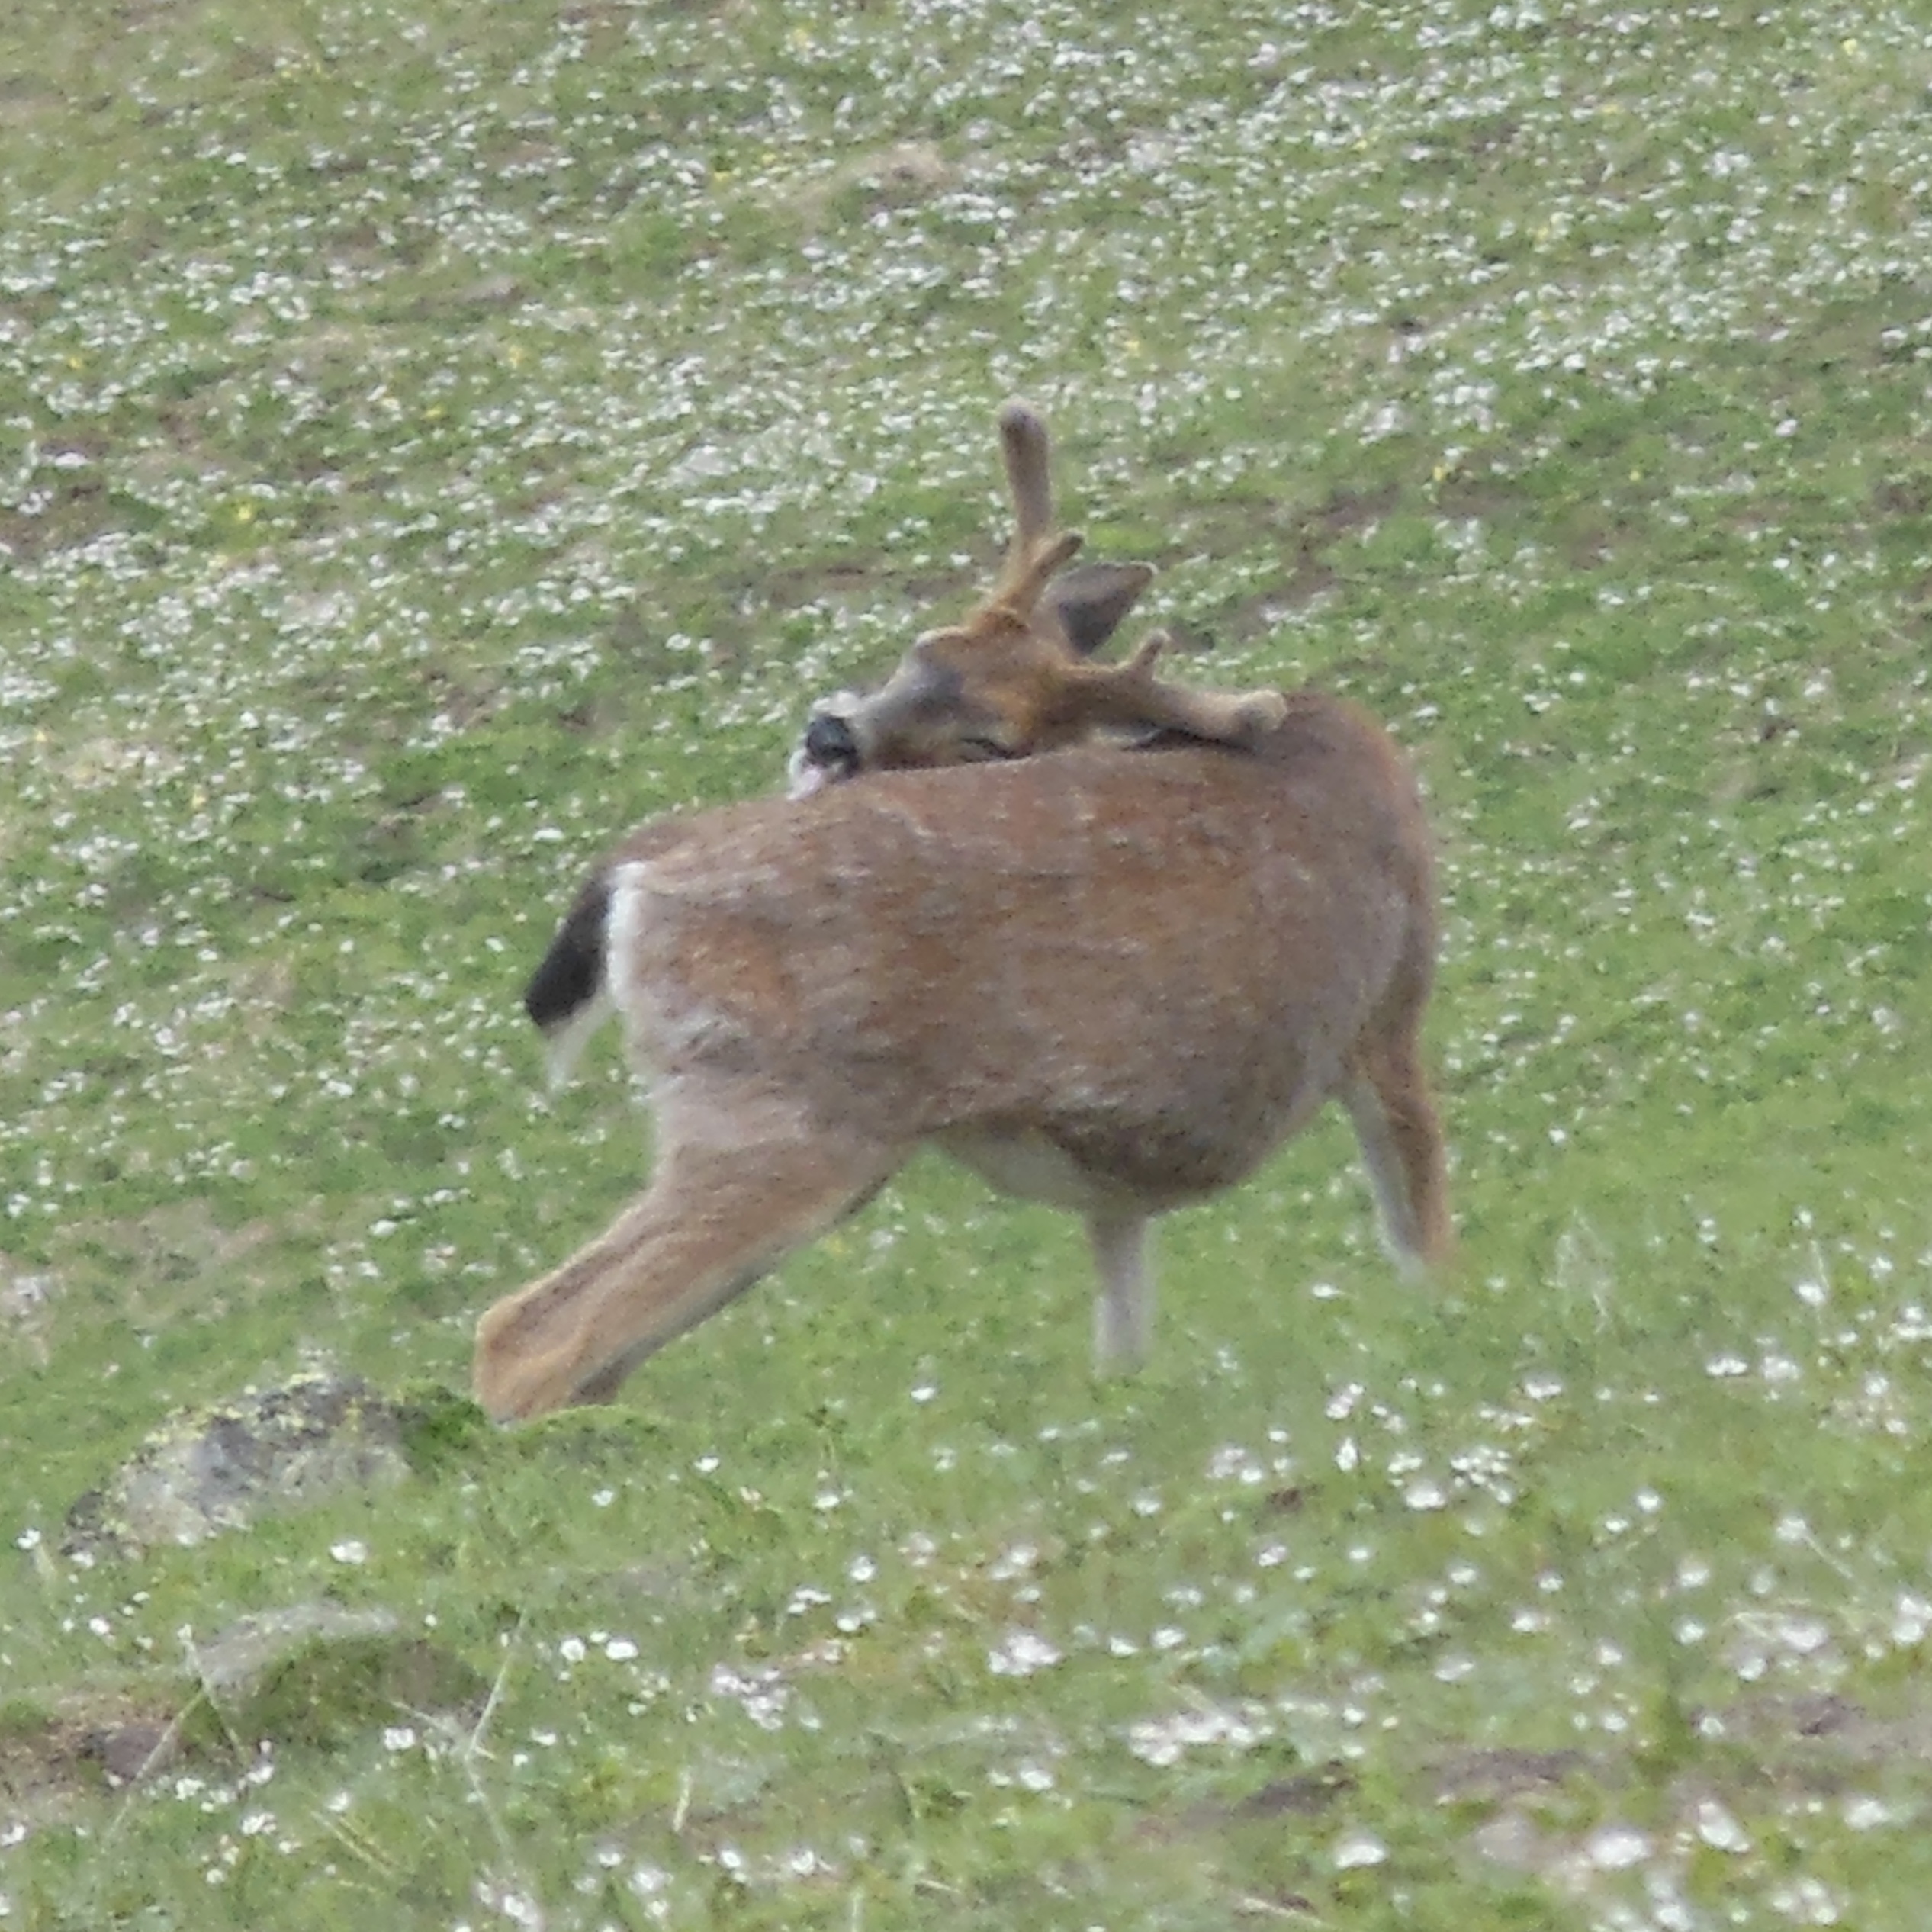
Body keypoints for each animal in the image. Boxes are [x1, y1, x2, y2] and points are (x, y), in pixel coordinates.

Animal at [473, 403, 1450, 1421]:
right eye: (919, 649)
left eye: (988, 739)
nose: (826, 735)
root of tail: (639, 872)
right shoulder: (1388, 1006)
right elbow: (1423, 1239)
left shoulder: (1117, 1174)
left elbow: (1124, 1324)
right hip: (774, 1110)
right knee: (530, 1335)